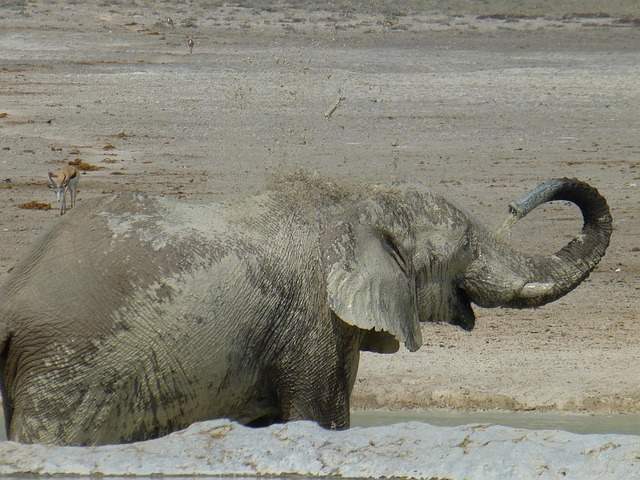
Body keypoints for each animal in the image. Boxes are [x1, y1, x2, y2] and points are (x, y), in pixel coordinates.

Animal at [0, 175, 611, 446]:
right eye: (465, 249)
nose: (515, 204)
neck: (354, 202)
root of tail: (14, 293)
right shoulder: (314, 321)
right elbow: (321, 419)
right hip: (67, 366)